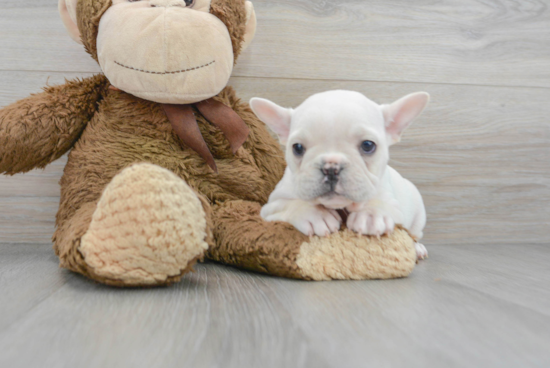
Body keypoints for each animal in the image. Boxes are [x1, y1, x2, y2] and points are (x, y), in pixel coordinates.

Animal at [250, 90, 432, 260]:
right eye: (298, 148)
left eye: (368, 145)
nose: (331, 167)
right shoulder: (272, 205)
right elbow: (292, 204)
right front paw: (316, 214)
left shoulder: (392, 201)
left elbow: (379, 202)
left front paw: (371, 215)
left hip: (418, 215)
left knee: (414, 234)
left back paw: (417, 249)